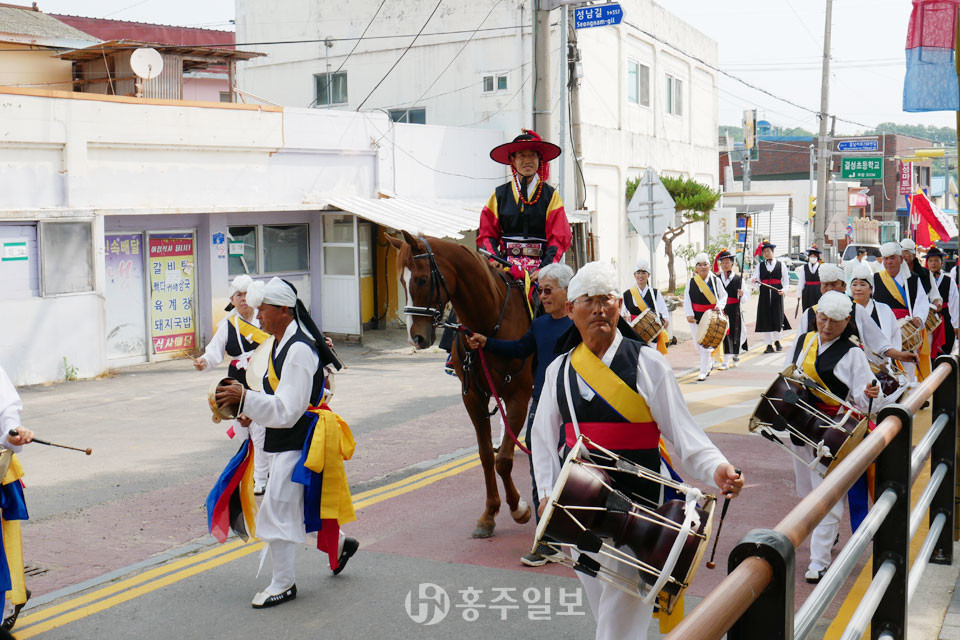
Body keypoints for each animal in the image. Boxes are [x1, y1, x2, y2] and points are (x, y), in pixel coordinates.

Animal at [388, 232, 536, 536]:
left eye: (422, 279)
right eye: (401, 281)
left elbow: (504, 459)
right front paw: (490, 513)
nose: (416, 338)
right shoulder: (473, 396)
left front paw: (518, 508)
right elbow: (487, 455)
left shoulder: (519, 395)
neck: (488, 323)